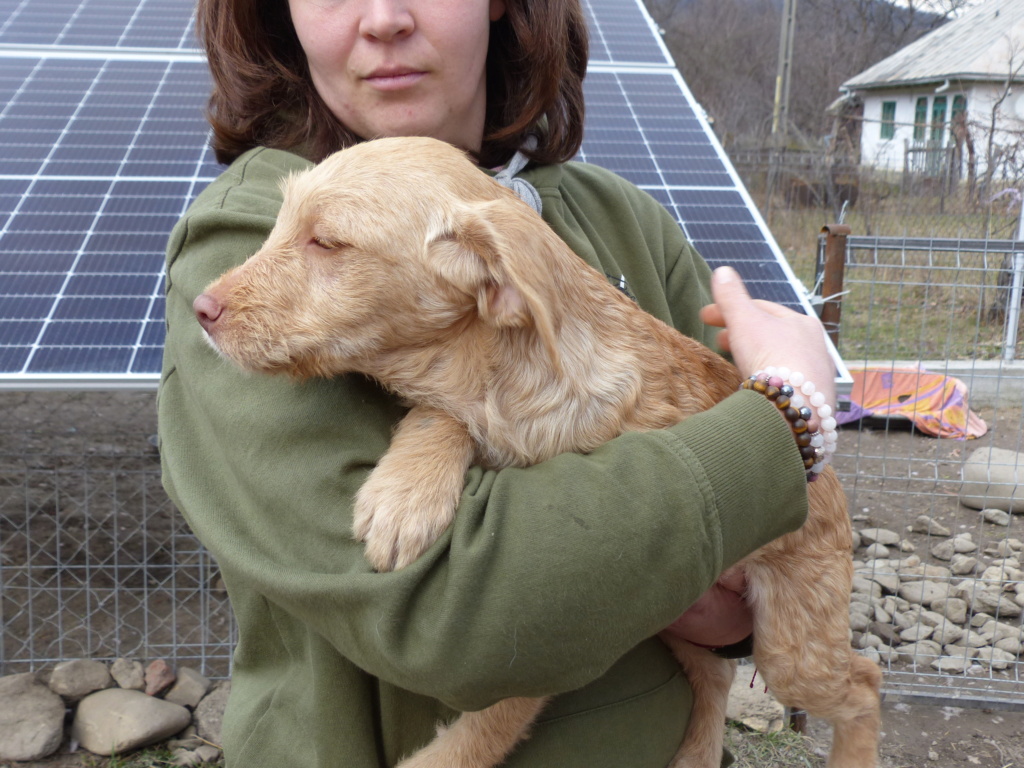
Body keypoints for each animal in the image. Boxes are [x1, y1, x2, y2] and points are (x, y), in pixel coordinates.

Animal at [195, 137, 884, 768]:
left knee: (864, 683)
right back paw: (694, 754)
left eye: (327, 243)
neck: (499, 364)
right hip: (685, 616)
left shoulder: (563, 625)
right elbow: (444, 414)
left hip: (791, 643)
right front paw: (408, 491)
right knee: (716, 672)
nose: (201, 309)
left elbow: (491, 722)